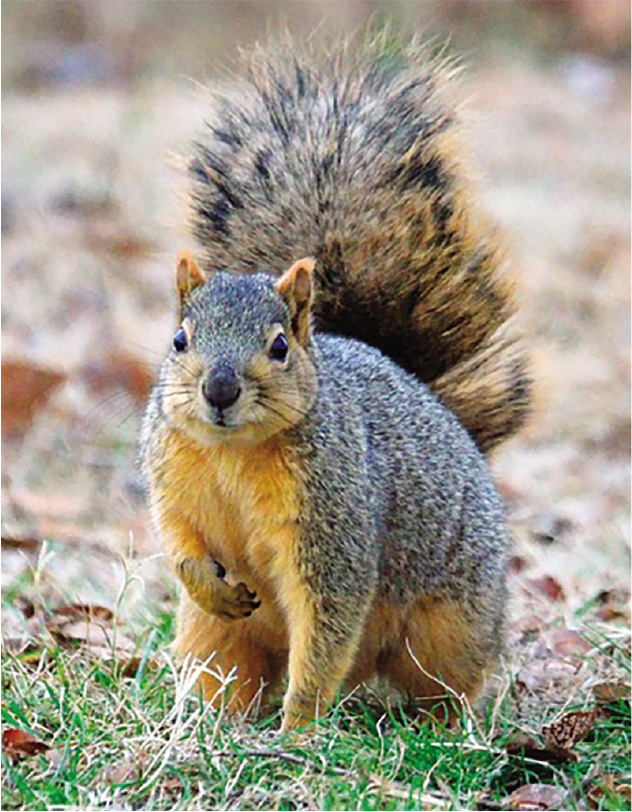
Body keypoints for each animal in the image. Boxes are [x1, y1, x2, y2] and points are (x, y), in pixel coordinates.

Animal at [141, 35, 532, 732]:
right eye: (180, 340)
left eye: (279, 346)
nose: (219, 390)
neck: (233, 453)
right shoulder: (175, 480)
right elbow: (180, 543)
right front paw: (209, 583)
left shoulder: (335, 523)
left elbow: (326, 620)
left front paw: (299, 727)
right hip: (214, 639)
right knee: (226, 666)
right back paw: (211, 721)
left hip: (451, 625)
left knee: (445, 679)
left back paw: (445, 729)